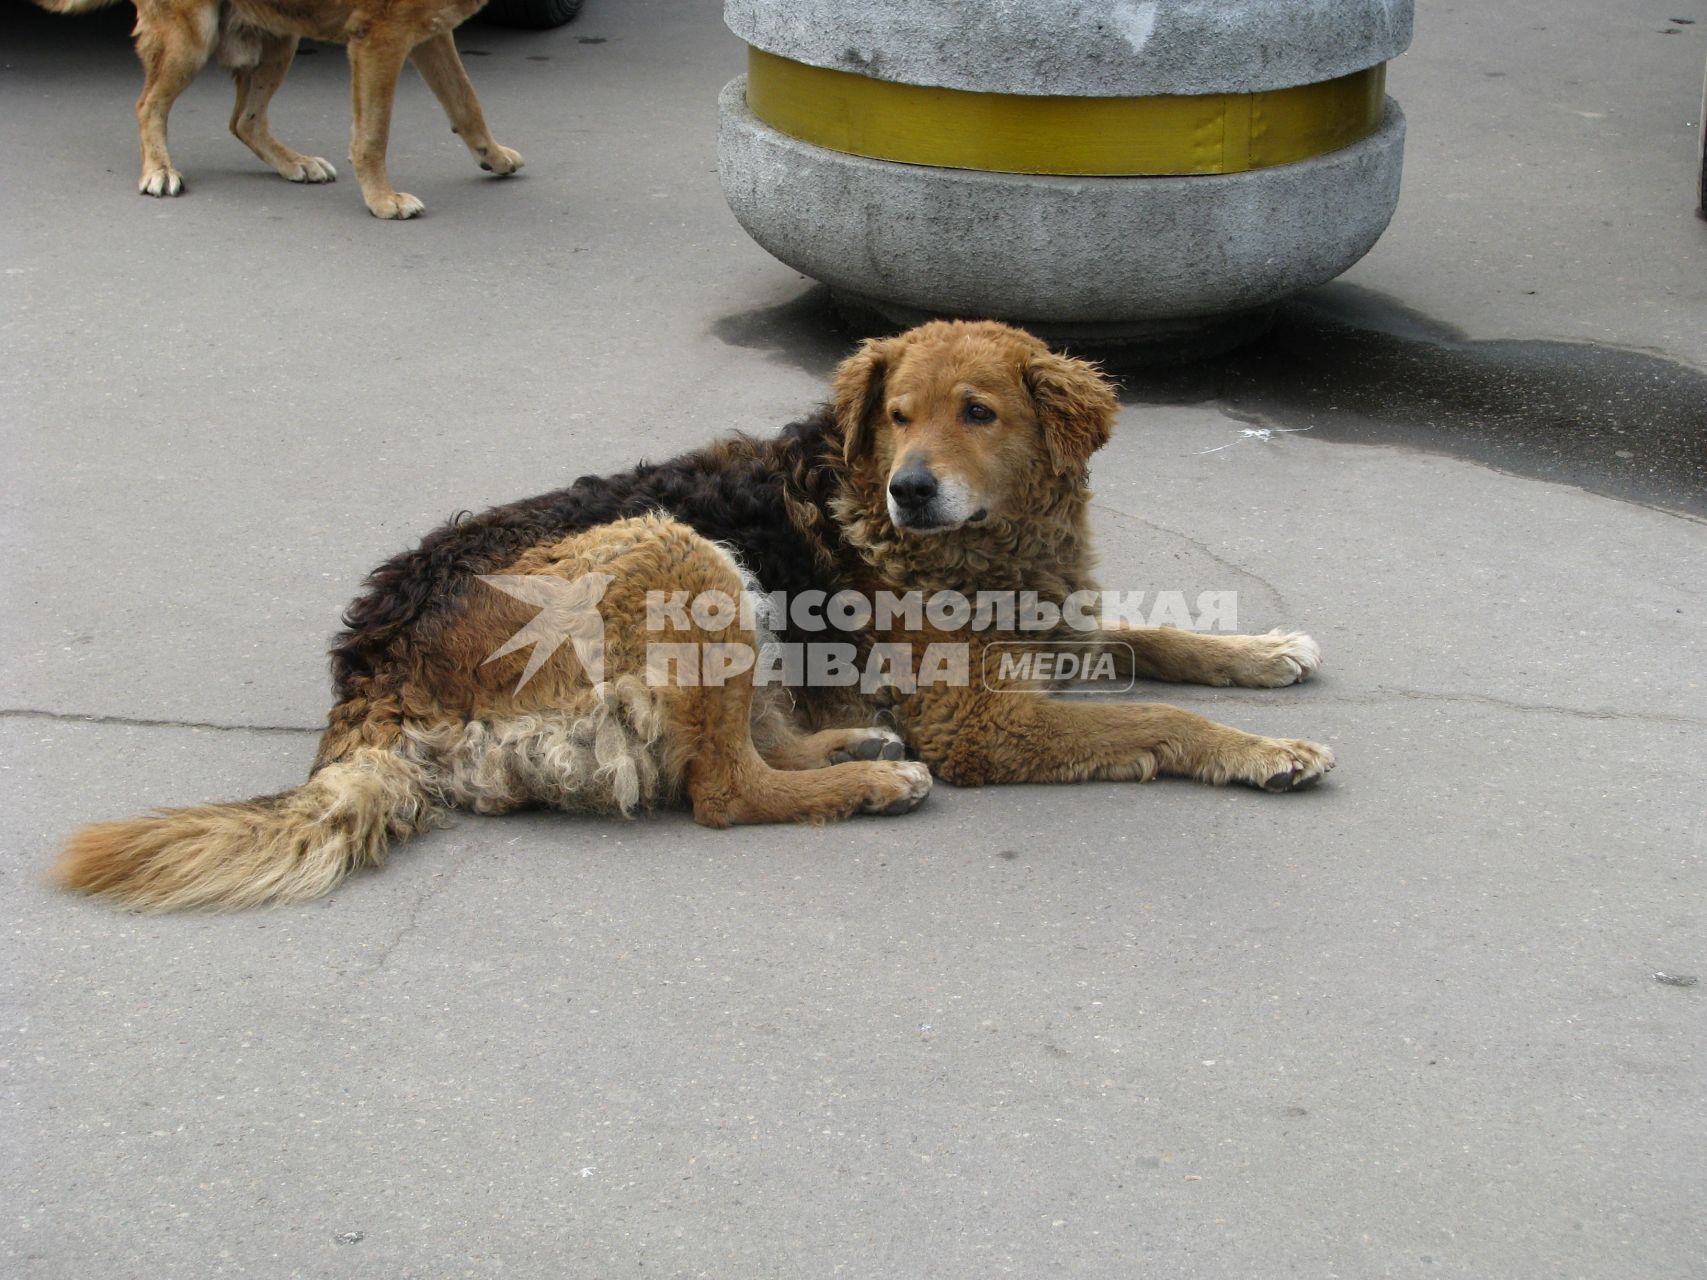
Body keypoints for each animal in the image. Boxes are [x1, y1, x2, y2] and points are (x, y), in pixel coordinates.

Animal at [34, 0, 518, 218]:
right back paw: (159, 169)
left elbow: (466, 102)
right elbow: (373, 136)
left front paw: (492, 156)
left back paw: (295, 163)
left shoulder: (431, 36)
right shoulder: (381, 41)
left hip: (280, 41)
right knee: (148, 105)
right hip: (191, 39)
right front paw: (382, 199)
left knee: (244, 121)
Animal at [53, 325, 1331, 914]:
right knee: (721, 787)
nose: (911, 488)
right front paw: (1262, 749)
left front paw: (1264, 651)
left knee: (735, 746)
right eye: (899, 415)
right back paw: (871, 778)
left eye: (978, 411)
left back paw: (855, 742)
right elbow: (1158, 714)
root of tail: (370, 663)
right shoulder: (983, 720)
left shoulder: (1042, 624)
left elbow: (1157, 640)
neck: (987, 541)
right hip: (679, 550)